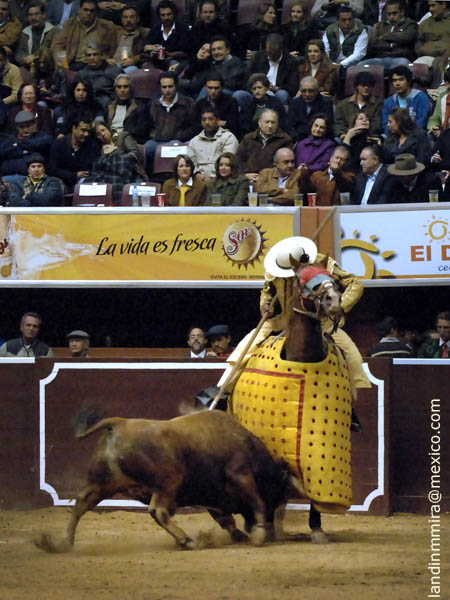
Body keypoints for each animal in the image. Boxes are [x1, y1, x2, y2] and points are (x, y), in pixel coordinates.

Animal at [35, 410, 302, 552]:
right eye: (278, 496)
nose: (272, 531)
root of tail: (118, 423)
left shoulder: (212, 495)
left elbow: (225, 519)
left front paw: (242, 535)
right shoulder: (241, 475)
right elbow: (256, 503)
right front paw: (258, 534)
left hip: (102, 484)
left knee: (80, 504)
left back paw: (64, 542)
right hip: (168, 482)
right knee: (158, 511)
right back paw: (187, 540)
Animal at [230, 258, 354, 544]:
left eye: (332, 276)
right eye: (301, 279)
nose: (334, 300)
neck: (303, 356)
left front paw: (317, 528)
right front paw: (262, 525)